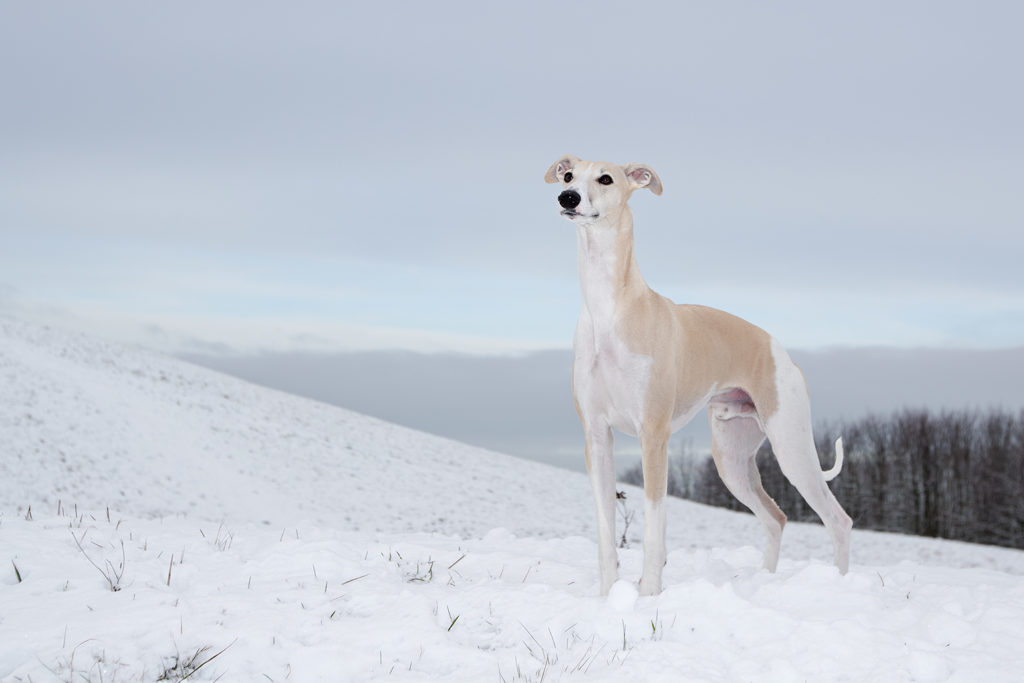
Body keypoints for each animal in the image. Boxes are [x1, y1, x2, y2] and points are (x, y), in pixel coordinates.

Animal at [548, 156, 851, 598]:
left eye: (605, 178)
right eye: (569, 176)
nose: (567, 198)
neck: (612, 308)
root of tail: (783, 353)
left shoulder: (654, 436)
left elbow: (655, 524)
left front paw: (648, 593)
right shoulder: (597, 437)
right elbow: (605, 530)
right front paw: (608, 597)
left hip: (792, 447)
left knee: (837, 518)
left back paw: (843, 585)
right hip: (732, 459)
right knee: (775, 517)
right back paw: (764, 581)